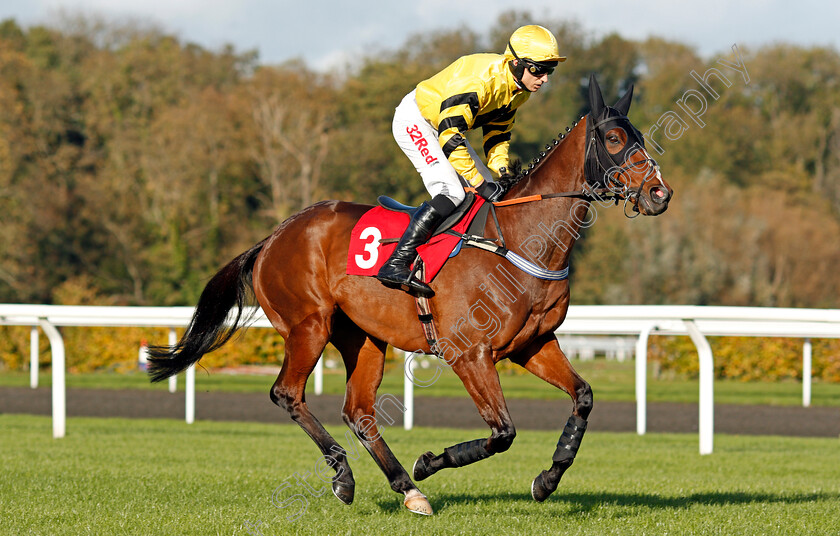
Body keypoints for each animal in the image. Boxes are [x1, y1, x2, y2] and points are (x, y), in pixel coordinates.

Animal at [148, 74, 672, 516]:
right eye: (614, 140)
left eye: (641, 139)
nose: (659, 193)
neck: (521, 238)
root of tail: (274, 236)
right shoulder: (469, 353)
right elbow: (502, 431)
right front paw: (431, 461)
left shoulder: (533, 345)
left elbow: (582, 397)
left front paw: (547, 479)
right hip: (308, 325)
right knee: (288, 394)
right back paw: (346, 477)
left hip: (363, 338)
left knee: (359, 412)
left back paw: (408, 489)